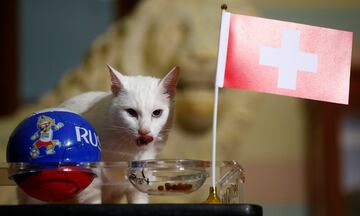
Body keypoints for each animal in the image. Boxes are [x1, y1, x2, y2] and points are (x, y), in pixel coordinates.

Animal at [59, 65, 180, 203]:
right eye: (131, 112)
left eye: (157, 113)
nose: (144, 131)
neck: (127, 152)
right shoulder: (90, 186)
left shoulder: (139, 184)